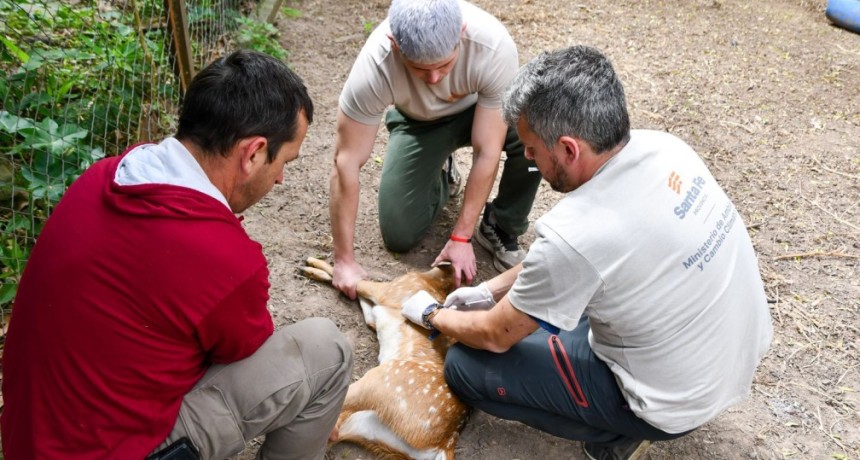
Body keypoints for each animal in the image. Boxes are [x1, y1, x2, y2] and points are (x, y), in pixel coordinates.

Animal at [298, 257, 470, 460]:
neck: (430, 280)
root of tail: (445, 443)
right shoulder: (376, 313)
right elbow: (363, 304)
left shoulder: (389, 290)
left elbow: (356, 283)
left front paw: (312, 264)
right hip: (366, 426)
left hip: (382, 380)